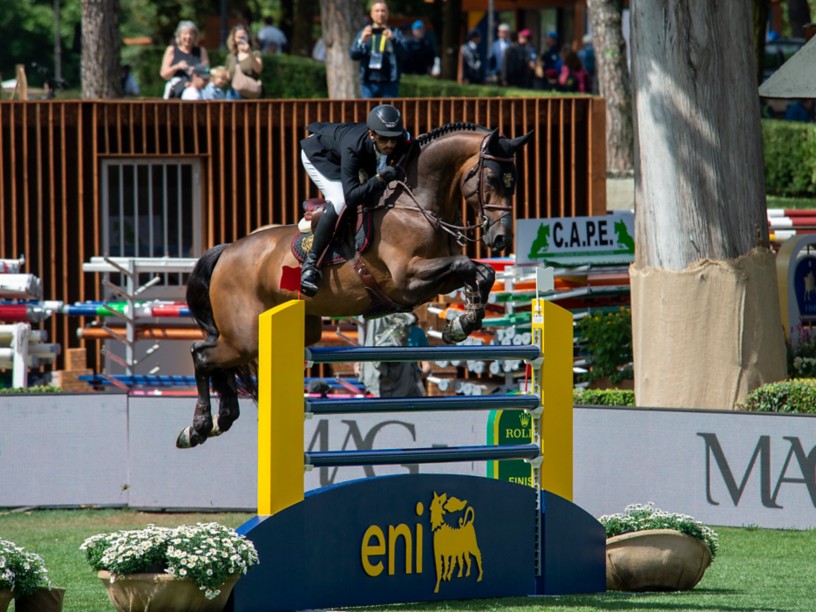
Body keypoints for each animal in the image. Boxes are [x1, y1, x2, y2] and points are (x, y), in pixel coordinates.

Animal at [179, 123, 532, 448]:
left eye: (515, 181)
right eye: (491, 179)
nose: (500, 239)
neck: (415, 207)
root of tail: (227, 251)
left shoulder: (436, 281)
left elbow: (481, 272)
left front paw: (463, 322)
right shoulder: (408, 279)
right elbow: (467, 265)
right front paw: (462, 322)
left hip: (290, 331)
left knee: (218, 363)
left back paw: (221, 419)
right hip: (245, 337)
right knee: (202, 355)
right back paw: (198, 426)